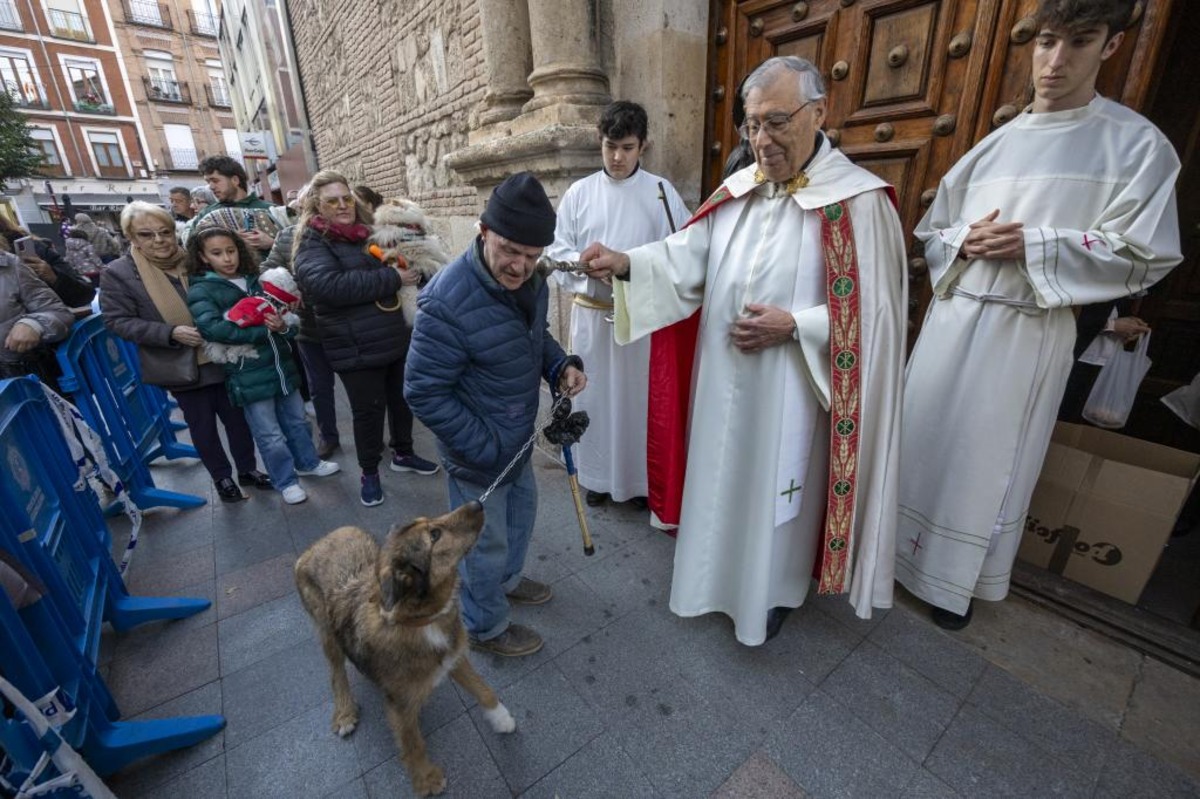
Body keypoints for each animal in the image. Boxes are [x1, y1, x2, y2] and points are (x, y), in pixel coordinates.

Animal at [296, 501, 516, 791]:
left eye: (431, 524)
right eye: (434, 535)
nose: (477, 503)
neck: (420, 620)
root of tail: (316, 544)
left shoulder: (454, 658)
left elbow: (484, 689)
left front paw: (501, 717)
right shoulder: (400, 704)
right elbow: (412, 743)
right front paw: (426, 778)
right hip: (326, 630)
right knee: (336, 672)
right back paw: (344, 712)